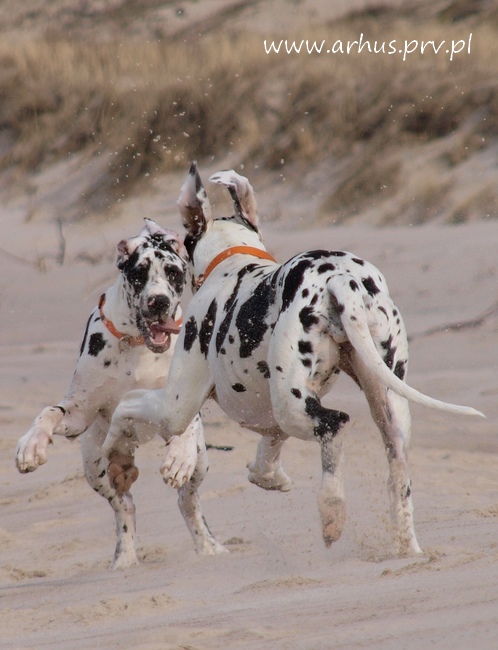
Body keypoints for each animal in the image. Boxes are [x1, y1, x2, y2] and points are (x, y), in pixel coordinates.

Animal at [15, 218, 226, 569]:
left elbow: (186, 424)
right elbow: (50, 412)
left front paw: (179, 456)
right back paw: (125, 558)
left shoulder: (181, 399)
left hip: (202, 464)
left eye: (173, 272)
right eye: (139, 273)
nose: (158, 302)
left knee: (188, 499)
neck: (137, 345)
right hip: (95, 465)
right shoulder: (78, 414)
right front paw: (31, 446)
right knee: (124, 506)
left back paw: (207, 545)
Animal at [101, 163, 483, 558]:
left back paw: (332, 510)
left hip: (292, 406)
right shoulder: (268, 417)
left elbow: (127, 406)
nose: (151, 228)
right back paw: (407, 546)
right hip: (384, 404)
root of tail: (341, 280)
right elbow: (264, 461)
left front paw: (114, 453)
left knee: (336, 426)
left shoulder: (176, 406)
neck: (232, 261)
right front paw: (270, 477)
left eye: (179, 241)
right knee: (398, 474)